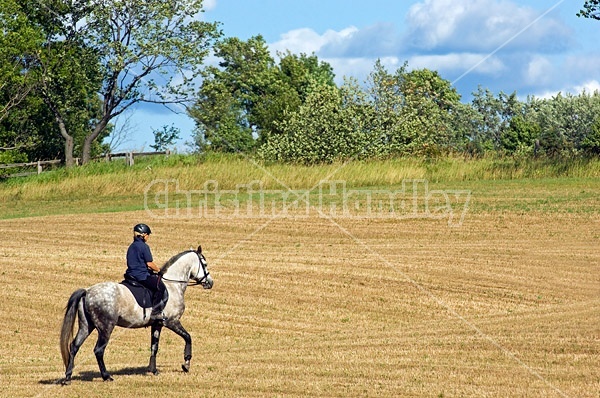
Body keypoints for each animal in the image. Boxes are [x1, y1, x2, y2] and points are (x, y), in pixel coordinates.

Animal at [59, 244, 213, 384]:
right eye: (204, 264)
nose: (210, 283)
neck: (172, 285)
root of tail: (87, 291)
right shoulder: (172, 322)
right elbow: (188, 337)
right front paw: (186, 364)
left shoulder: (157, 324)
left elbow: (154, 347)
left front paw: (153, 370)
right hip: (105, 328)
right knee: (98, 350)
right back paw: (106, 376)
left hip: (86, 326)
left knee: (74, 346)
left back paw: (68, 377)